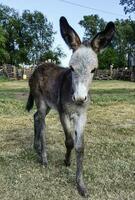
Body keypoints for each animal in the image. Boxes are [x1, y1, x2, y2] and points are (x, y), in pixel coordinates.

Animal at [25, 16, 114, 197]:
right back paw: (43, 158)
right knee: (42, 124)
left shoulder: (82, 116)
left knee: (35, 117)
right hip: (41, 102)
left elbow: (80, 147)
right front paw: (66, 161)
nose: (79, 98)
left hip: (48, 104)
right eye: (71, 68)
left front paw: (81, 185)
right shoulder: (63, 113)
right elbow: (69, 141)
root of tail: (39, 66)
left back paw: (36, 148)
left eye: (94, 70)